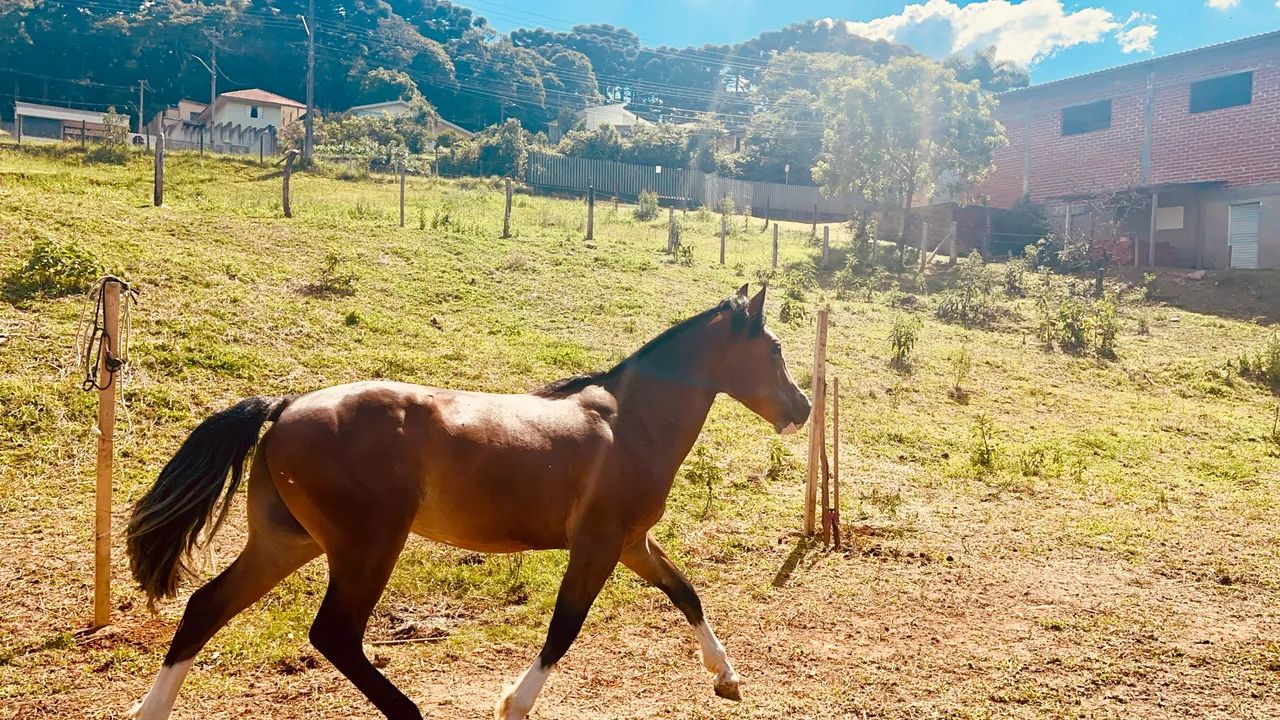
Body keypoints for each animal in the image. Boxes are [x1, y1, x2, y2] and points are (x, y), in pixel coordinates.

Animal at [124, 284, 811, 720]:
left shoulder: (632, 542)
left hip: (286, 541)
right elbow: (565, 627)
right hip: (367, 545)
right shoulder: (598, 544)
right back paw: (410, 712)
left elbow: (686, 593)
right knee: (334, 633)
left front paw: (727, 678)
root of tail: (286, 406)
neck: (631, 422)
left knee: (206, 607)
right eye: (775, 350)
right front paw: (515, 703)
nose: (802, 409)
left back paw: (148, 710)